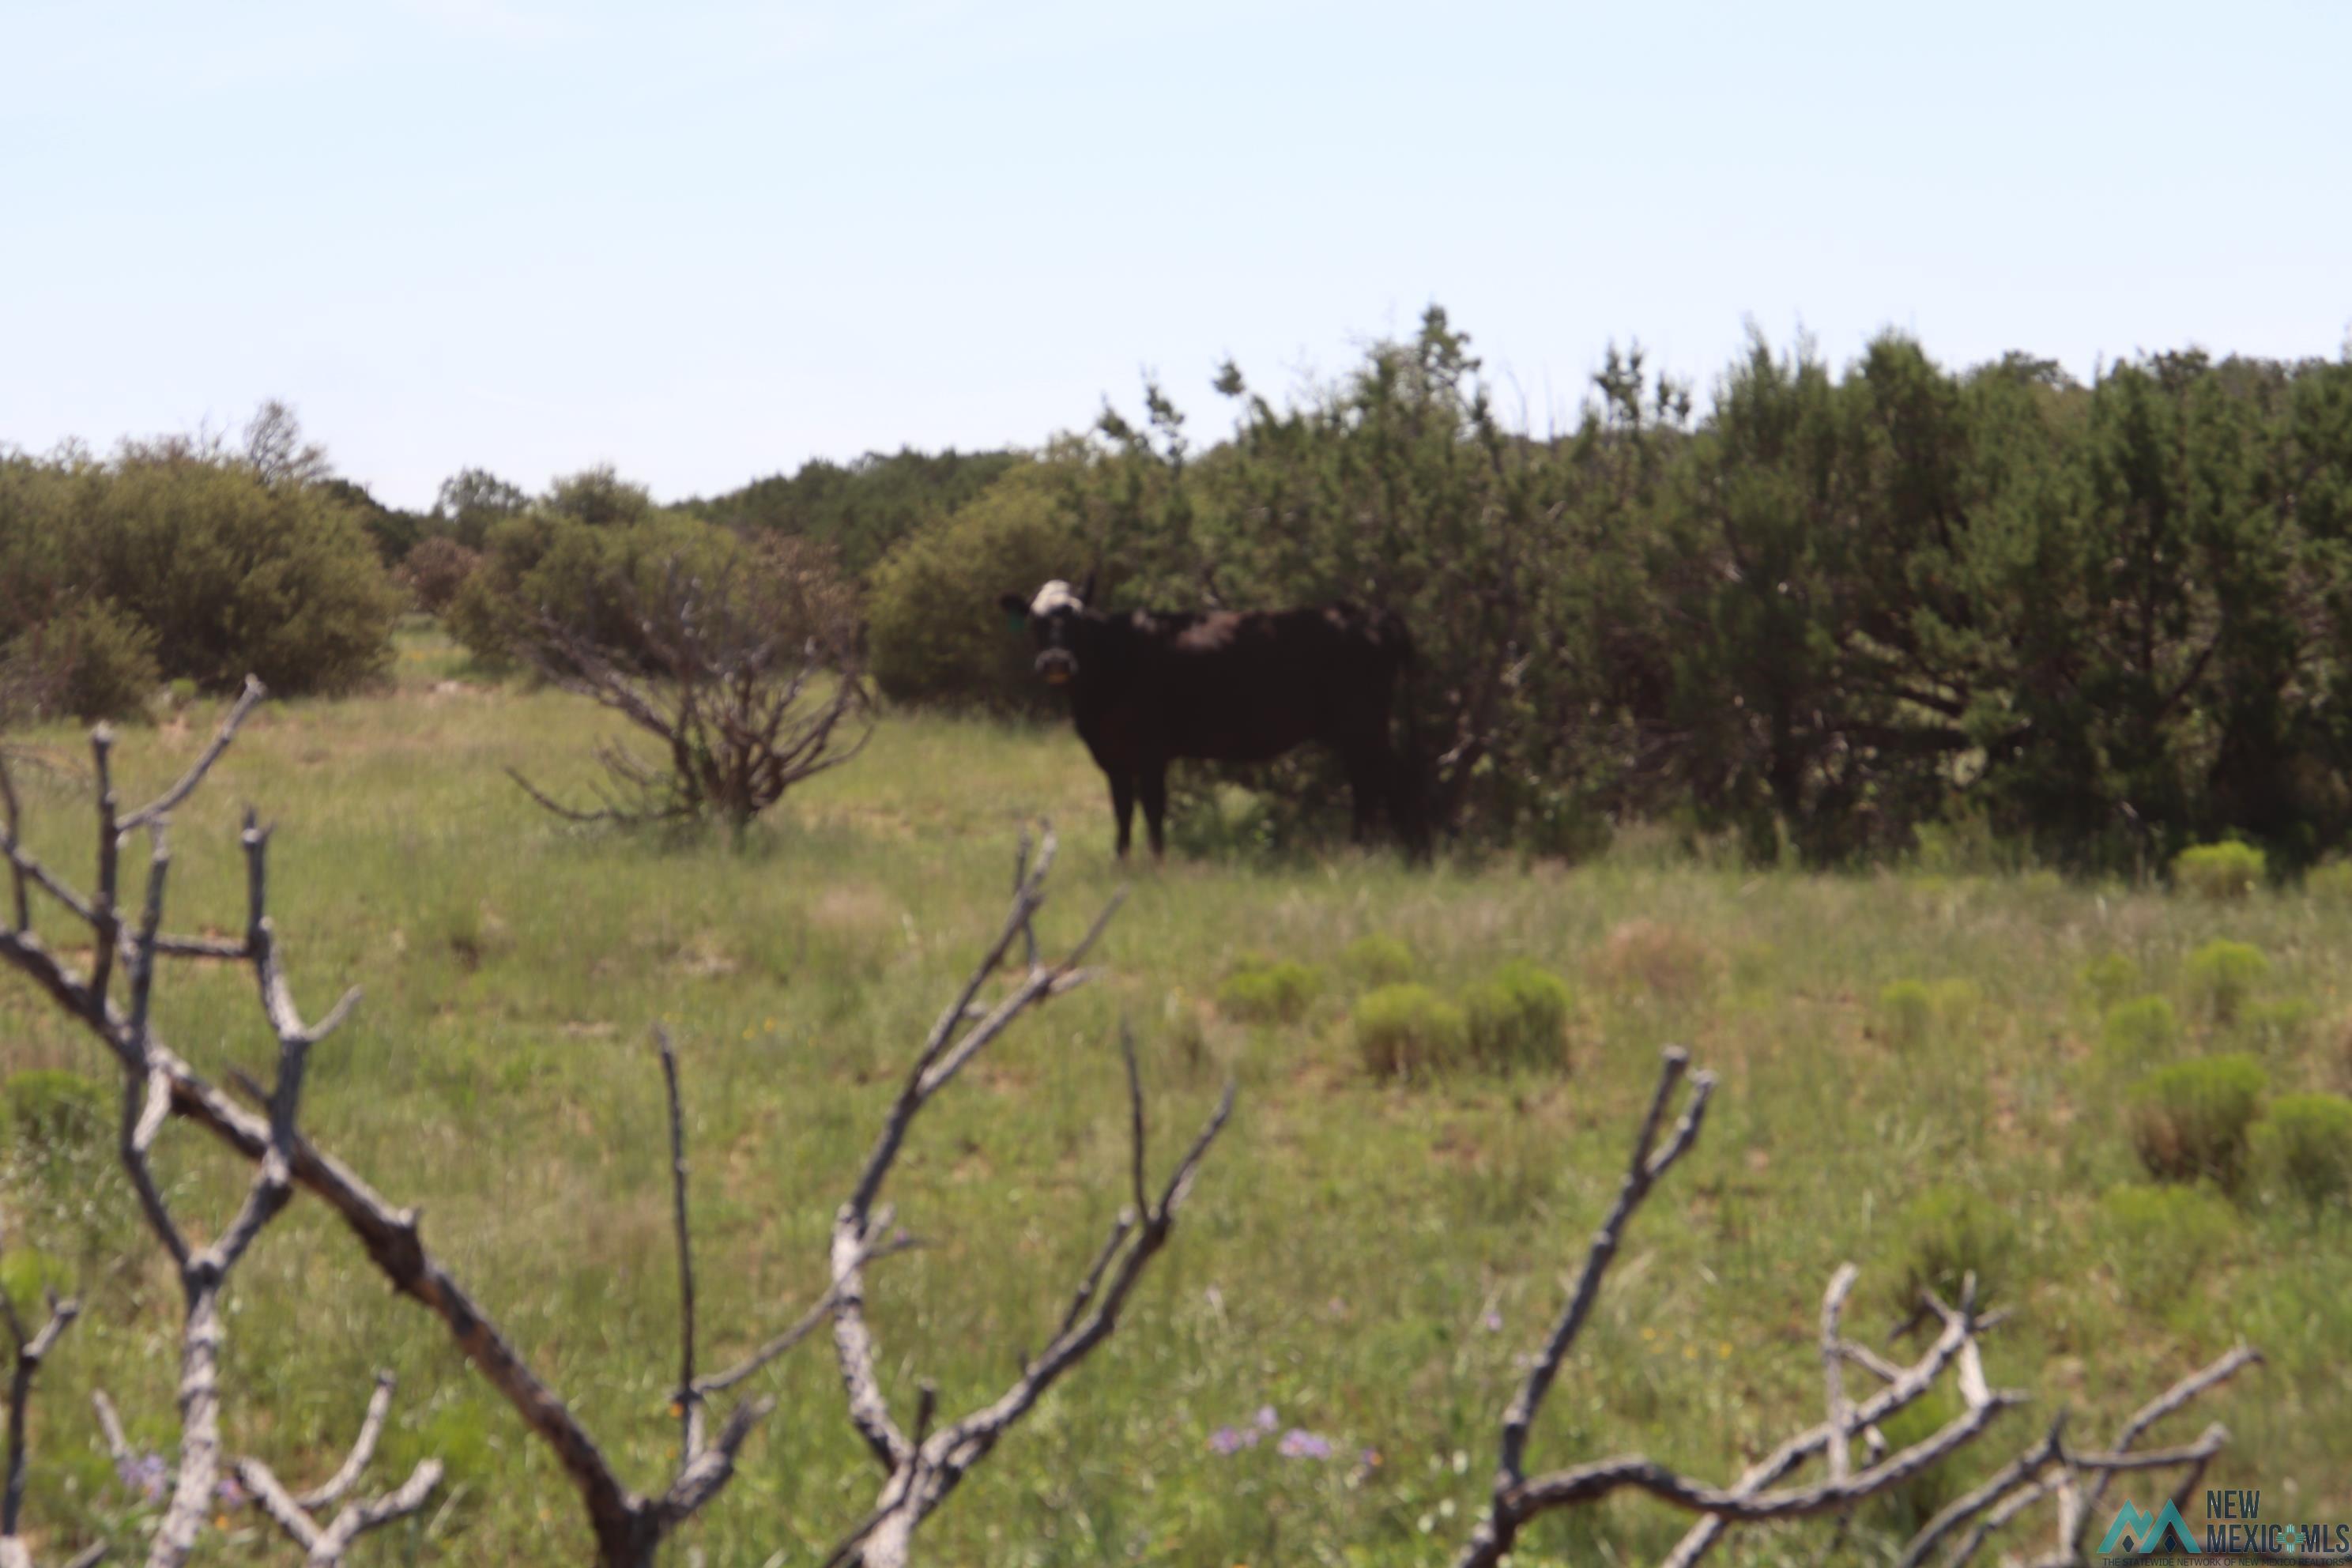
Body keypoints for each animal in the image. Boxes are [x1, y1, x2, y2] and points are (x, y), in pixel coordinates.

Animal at [997, 575, 1430, 865]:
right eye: (1035, 621)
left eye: (1077, 620)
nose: (1056, 661)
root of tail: (1372, 613)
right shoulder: (1111, 754)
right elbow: (1122, 809)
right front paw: (1121, 862)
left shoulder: (1153, 751)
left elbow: (1153, 807)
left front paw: (1157, 862)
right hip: (1356, 731)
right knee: (1371, 783)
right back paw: (1376, 850)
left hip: (1364, 725)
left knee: (1386, 780)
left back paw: (1396, 852)